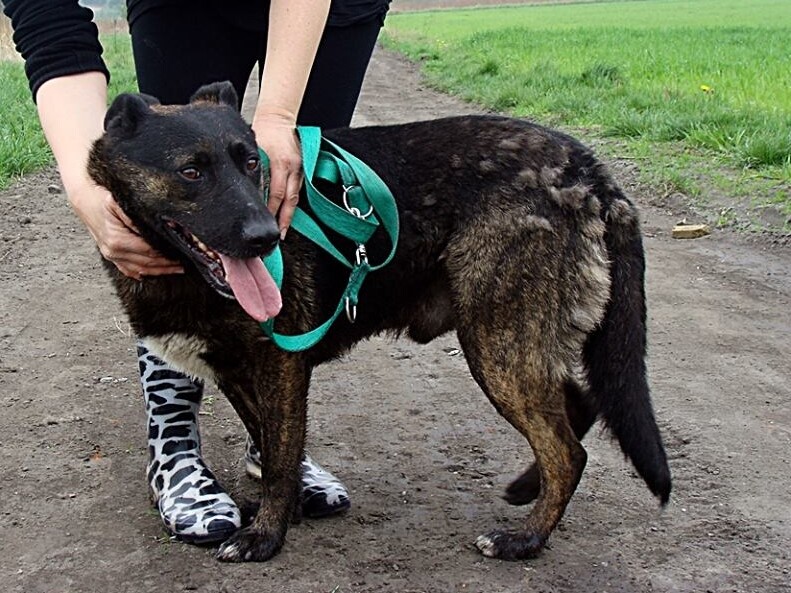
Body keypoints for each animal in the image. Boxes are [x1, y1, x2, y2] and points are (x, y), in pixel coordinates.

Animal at [88, 81, 671, 562]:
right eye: (191, 171)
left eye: (252, 163)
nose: (267, 237)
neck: (183, 274)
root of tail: (588, 168)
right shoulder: (237, 373)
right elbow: (274, 446)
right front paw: (287, 509)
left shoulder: (281, 367)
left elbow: (280, 457)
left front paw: (267, 535)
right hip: (512, 346)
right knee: (579, 405)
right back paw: (529, 490)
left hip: (497, 347)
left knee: (568, 450)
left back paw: (525, 539)